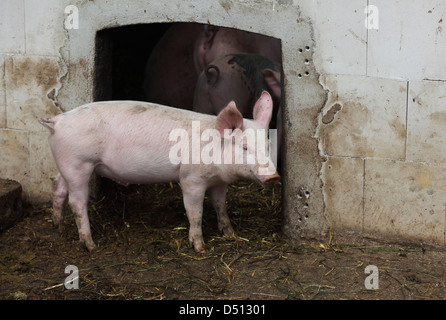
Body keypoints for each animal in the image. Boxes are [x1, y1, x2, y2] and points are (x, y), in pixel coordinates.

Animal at [41, 90, 278, 252]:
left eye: (267, 145)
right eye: (245, 147)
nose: (274, 176)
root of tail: (58, 120)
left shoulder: (219, 182)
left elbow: (221, 206)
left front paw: (230, 234)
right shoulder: (191, 179)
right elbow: (195, 212)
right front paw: (200, 248)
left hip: (66, 165)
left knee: (57, 188)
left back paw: (58, 228)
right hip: (79, 164)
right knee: (76, 202)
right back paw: (91, 246)